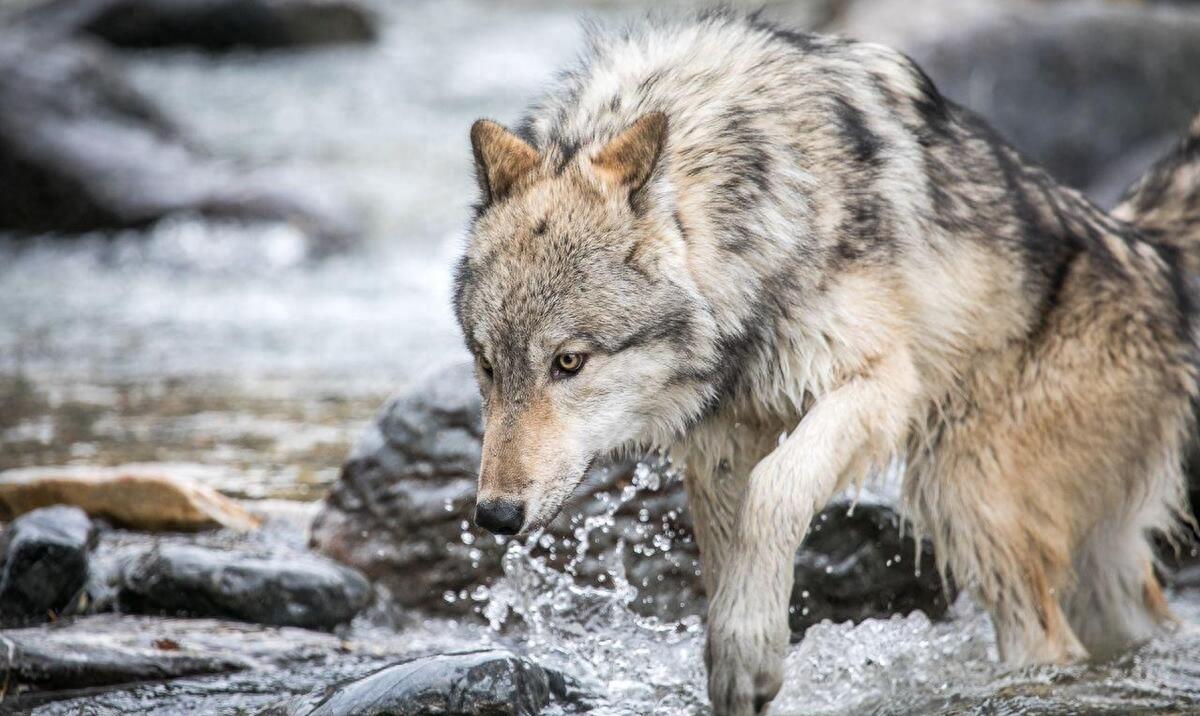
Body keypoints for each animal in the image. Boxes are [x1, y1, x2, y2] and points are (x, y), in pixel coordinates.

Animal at [451, 11, 1200, 714]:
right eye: (486, 365)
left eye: (568, 362)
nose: (495, 515)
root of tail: (1151, 251)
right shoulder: (722, 446)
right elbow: (733, 553)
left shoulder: (880, 383)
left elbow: (777, 491)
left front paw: (750, 651)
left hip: (964, 493)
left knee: (1049, 639)